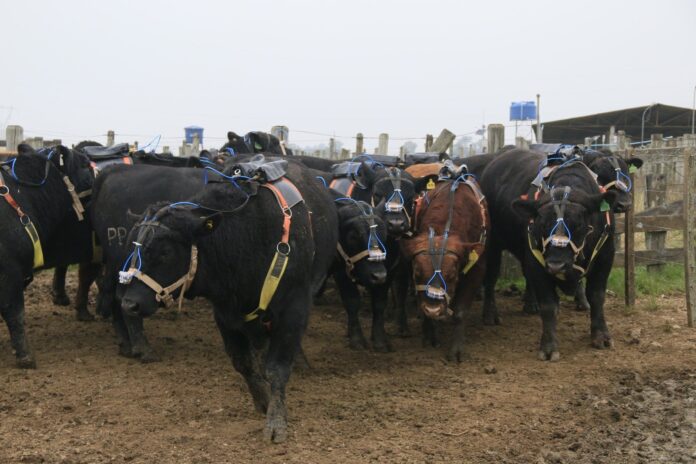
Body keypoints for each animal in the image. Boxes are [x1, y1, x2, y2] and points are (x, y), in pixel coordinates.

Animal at [119, 160, 338, 442]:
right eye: (133, 246)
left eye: (165, 252)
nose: (129, 304)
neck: (245, 238)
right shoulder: (225, 313)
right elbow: (242, 363)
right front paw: (262, 400)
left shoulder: (293, 308)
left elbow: (277, 368)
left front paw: (276, 421)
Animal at [482, 150, 624, 360]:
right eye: (541, 224)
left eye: (579, 225)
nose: (556, 265)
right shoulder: (538, 262)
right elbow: (549, 305)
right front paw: (548, 347)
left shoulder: (605, 256)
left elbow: (597, 296)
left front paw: (601, 336)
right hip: (492, 245)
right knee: (490, 278)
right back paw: (490, 314)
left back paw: (530, 304)